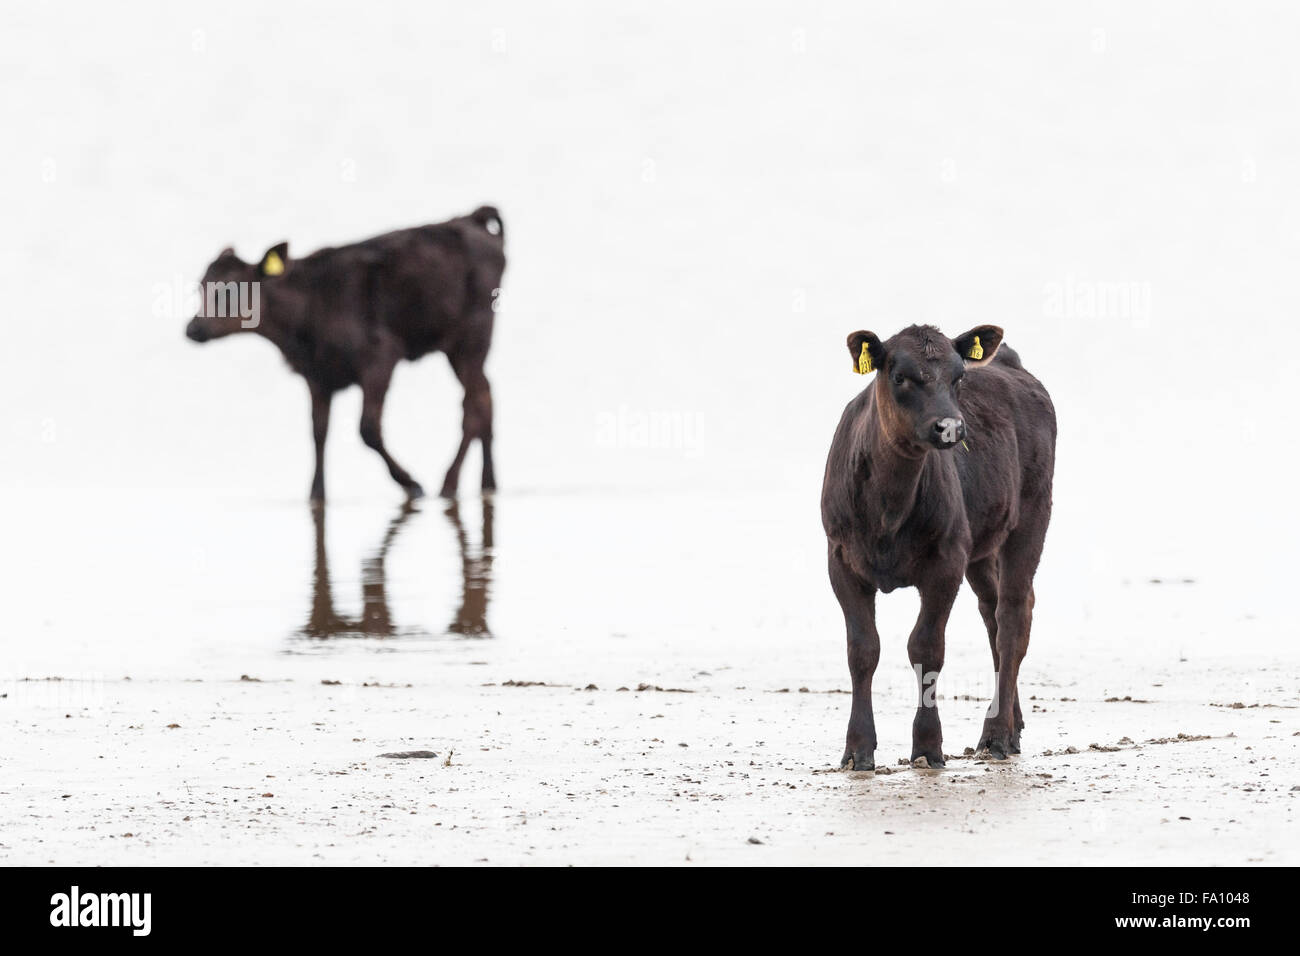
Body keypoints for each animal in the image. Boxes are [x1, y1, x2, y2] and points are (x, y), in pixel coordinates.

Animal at [185, 205, 506, 501]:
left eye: (230, 291)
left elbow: (368, 429)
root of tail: (471, 218)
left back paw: (449, 483)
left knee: (473, 405)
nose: (193, 328)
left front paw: (410, 482)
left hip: (472, 336)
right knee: (486, 396)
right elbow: (318, 432)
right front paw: (316, 494)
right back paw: (488, 483)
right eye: (200, 287)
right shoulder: (317, 375)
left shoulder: (380, 356)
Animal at [820, 324, 1056, 770]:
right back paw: (1012, 723)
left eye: (958, 376)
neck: (888, 508)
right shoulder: (840, 560)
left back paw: (996, 735)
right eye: (900, 377)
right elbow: (862, 649)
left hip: (1032, 514)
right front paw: (857, 748)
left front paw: (928, 745)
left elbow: (926, 648)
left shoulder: (946, 562)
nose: (950, 427)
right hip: (981, 543)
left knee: (1012, 617)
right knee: (992, 614)